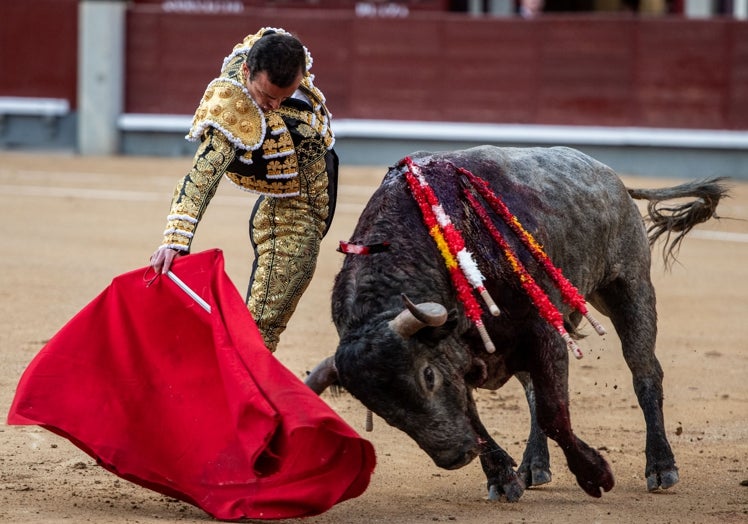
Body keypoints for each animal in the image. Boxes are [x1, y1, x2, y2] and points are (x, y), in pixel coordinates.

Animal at [304, 145, 724, 502]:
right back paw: (534, 466)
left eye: (427, 377)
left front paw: (596, 475)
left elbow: (555, 413)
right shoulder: (460, 353)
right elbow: (480, 414)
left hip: (629, 288)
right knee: (534, 391)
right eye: (377, 406)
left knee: (645, 373)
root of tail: (611, 177)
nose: (455, 455)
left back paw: (661, 467)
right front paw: (503, 477)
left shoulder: (542, 329)